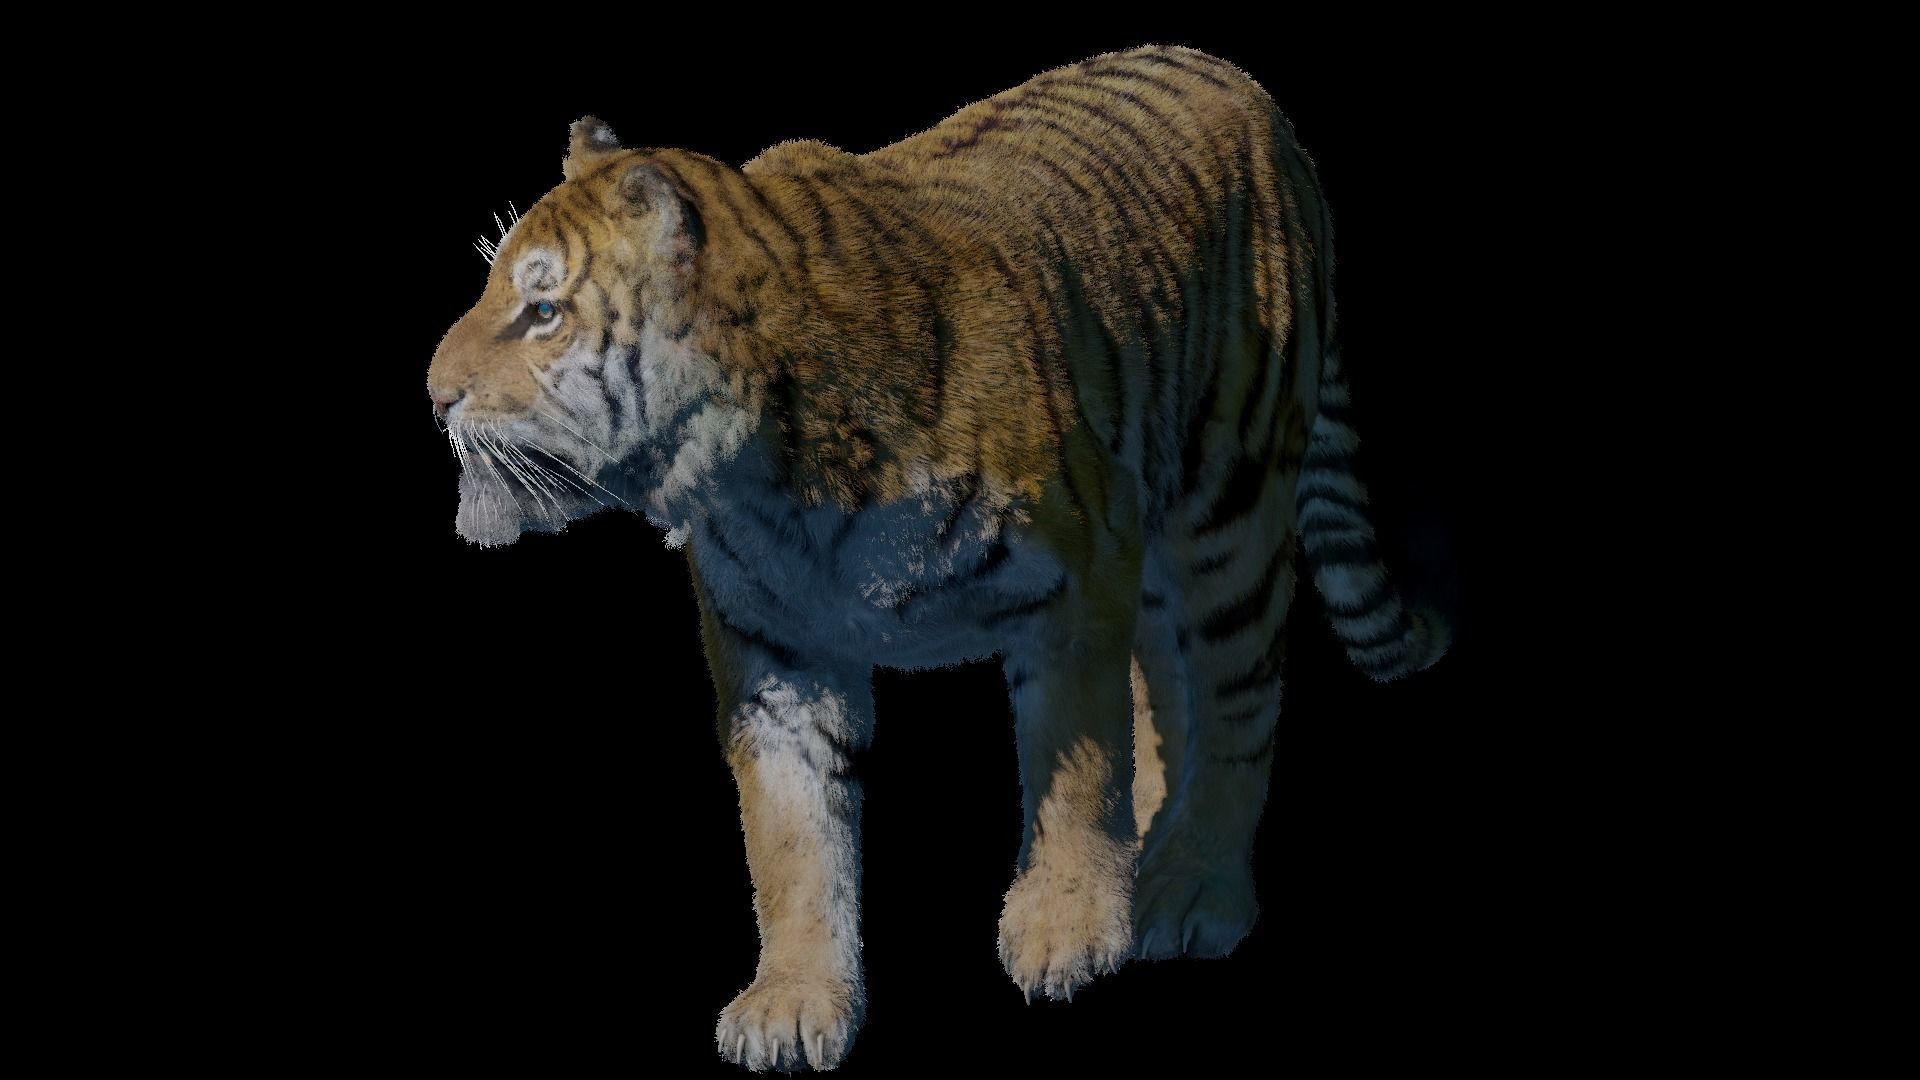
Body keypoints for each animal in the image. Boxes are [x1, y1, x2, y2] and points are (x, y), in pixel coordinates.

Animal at [425, 44, 1449, 1071]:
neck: (771, 485)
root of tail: (1240, 80)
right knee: (1168, 687)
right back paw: (1153, 851)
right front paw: (793, 1001)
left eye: (542, 311)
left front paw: (1065, 928)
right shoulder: (778, 659)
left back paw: (1194, 885)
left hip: (1227, 501)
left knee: (1237, 699)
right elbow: (792, 836)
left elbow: (1077, 764)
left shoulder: (1075, 580)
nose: (432, 396)